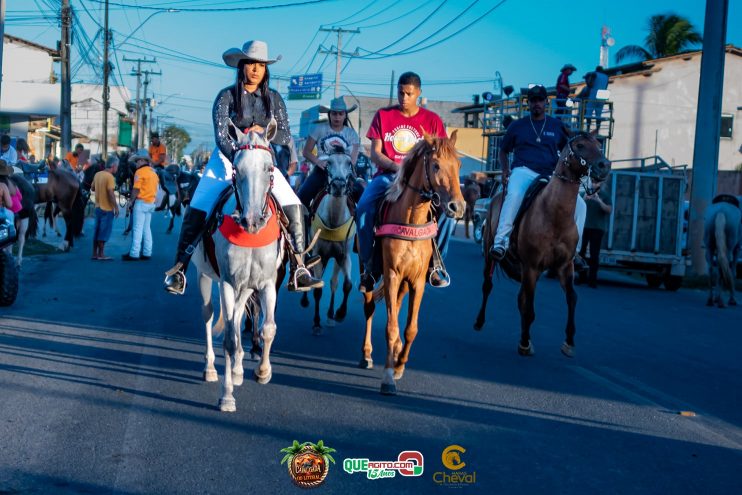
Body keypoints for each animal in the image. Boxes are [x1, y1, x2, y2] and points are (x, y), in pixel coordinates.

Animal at [192, 124, 284, 414]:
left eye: (269, 168)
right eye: (236, 168)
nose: (252, 220)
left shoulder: (266, 283)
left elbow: (268, 328)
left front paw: (262, 372)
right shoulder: (227, 283)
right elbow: (229, 340)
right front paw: (227, 396)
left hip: (246, 288)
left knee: (240, 315)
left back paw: (239, 370)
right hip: (205, 277)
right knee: (208, 315)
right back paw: (211, 368)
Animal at [300, 153, 358, 336]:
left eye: (349, 163)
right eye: (328, 164)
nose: (338, 186)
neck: (334, 220)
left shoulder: (343, 255)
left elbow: (346, 284)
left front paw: (339, 314)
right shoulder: (318, 253)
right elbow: (318, 288)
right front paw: (316, 323)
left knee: (334, 282)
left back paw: (331, 315)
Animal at [360, 132, 464, 396]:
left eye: (458, 165)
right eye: (436, 165)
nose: (458, 207)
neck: (411, 218)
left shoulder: (416, 281)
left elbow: (410, 328)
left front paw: (398, 366)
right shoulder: (392, 274)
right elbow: (391, 326)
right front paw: (388, 377)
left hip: (405, 283)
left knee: (396, 308)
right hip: (371, 274)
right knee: (369, 307)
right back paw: (366, 354)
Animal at [474, 132, 612, 356]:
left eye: (599, 145)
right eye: (580, 145)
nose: (604, 166)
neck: (554, 214)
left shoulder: (564, 266)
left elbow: (572, 298)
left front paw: (569, 341)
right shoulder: (531, 266)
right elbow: (529, 308)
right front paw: (524, 343)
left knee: (521, 298)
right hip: (490, 254)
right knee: (488, 285)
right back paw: (480, 321)